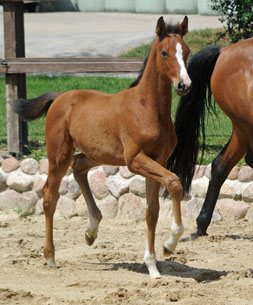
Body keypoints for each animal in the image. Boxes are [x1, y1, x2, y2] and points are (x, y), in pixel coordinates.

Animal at [12, 16, 191, 278]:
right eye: (165, 52)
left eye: (186, 52)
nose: (184, 85)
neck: (147, 108)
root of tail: (59, 98)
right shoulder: (135, 160)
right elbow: (174, 182)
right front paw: (169, 245)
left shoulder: (159, 160)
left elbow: (152, 211)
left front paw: (152, 264)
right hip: (59, 155)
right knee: (49, 196)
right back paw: (51, 257)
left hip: (97, 154)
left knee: (78, 167)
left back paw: (91, 231)